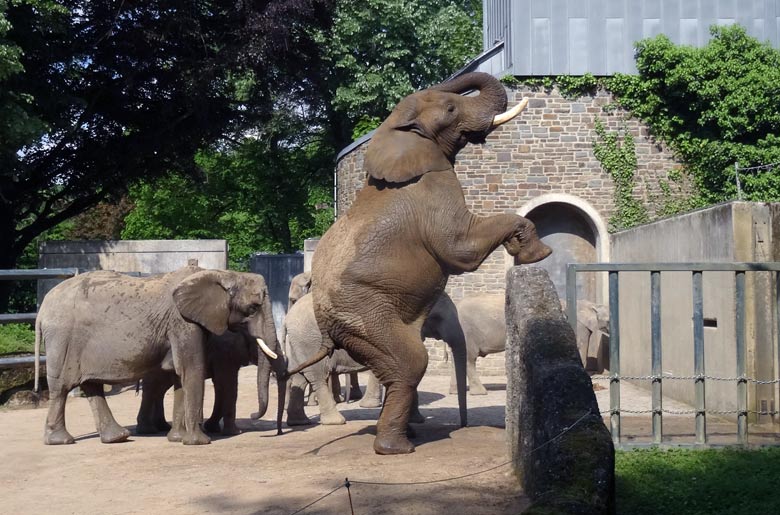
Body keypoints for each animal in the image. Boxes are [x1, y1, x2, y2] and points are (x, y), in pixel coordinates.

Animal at [290, 70, 552, 454]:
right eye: (451, 108)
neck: (397, 131)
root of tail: (324, 325)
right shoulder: (436, 189)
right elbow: (461, 250)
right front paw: (537, 254)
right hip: (363, 315)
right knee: (411, 361)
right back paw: (396, 447)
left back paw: (405, 434)